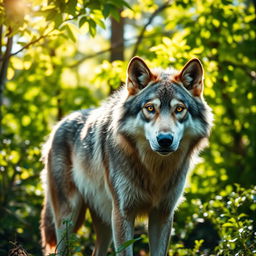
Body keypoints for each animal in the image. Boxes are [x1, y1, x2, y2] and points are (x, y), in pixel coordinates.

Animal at [40, 56, 212, 256]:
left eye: (179, 109)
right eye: (150, 108)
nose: (164, 140)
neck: (154, 171)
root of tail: (58, 126)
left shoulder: (163, 214)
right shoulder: (123, 213)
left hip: (104, 221)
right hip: (70, 219)